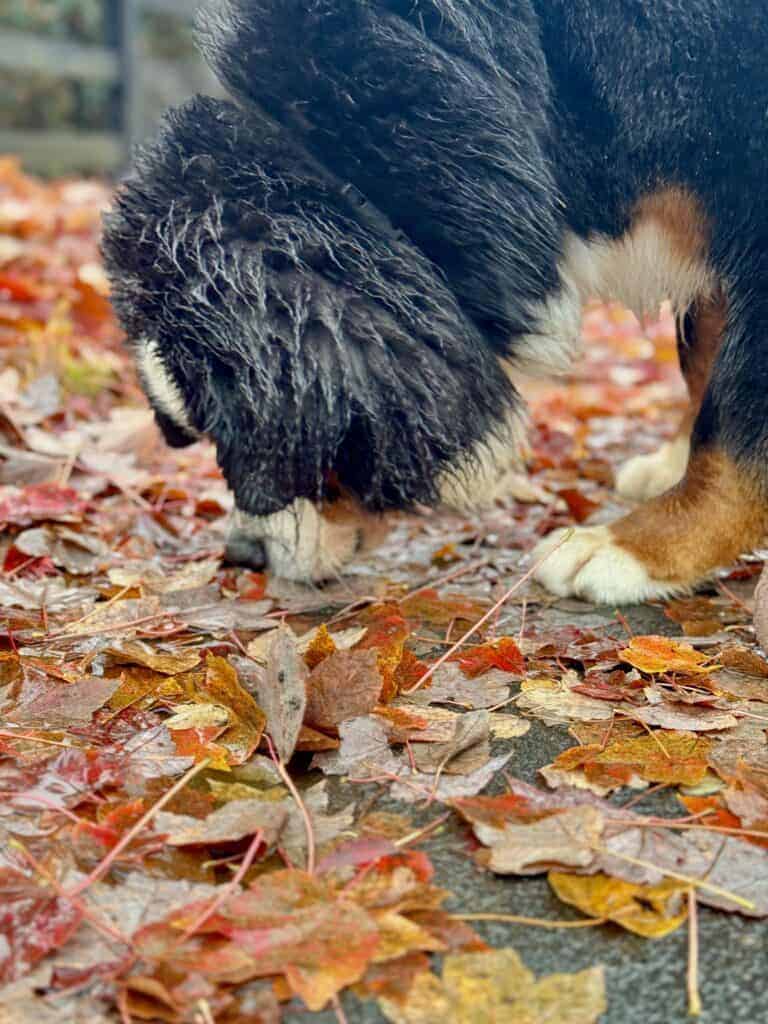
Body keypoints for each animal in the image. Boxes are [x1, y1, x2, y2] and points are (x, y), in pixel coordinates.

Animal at [102, 0, 768, 602]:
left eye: (255, 442)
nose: (244, 556)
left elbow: (734, 427)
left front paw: (633, 548)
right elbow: (701, 358)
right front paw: (672, 464)